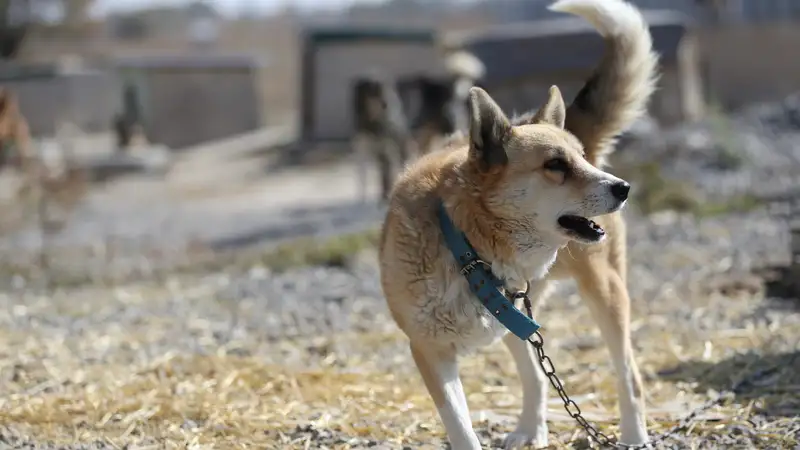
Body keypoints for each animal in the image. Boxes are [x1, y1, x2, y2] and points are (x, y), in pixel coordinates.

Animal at [378, 0, 660, 450]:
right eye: (556, 165)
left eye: (580, 160)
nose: (623, 188)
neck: (468, 248)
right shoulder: (430, 351)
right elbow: (461, 427)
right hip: (518, 323)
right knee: (538, 379)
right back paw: (531, 430)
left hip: (605, 293)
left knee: (628, 375)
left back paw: (633, 435)